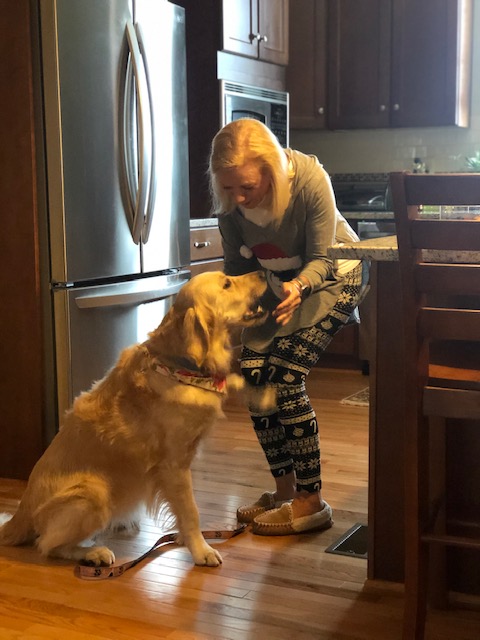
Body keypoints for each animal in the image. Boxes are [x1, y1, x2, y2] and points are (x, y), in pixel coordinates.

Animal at [0, 270, 269, 567]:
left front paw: (267, 395)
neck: (178, 366)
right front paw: (201, 550)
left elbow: (237, 382)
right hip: (93, 492)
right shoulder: (174, 466)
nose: (262, 272)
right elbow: (190, 511)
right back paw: (94, 552)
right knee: (48, 545)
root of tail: (19, 515)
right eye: (227, 283)